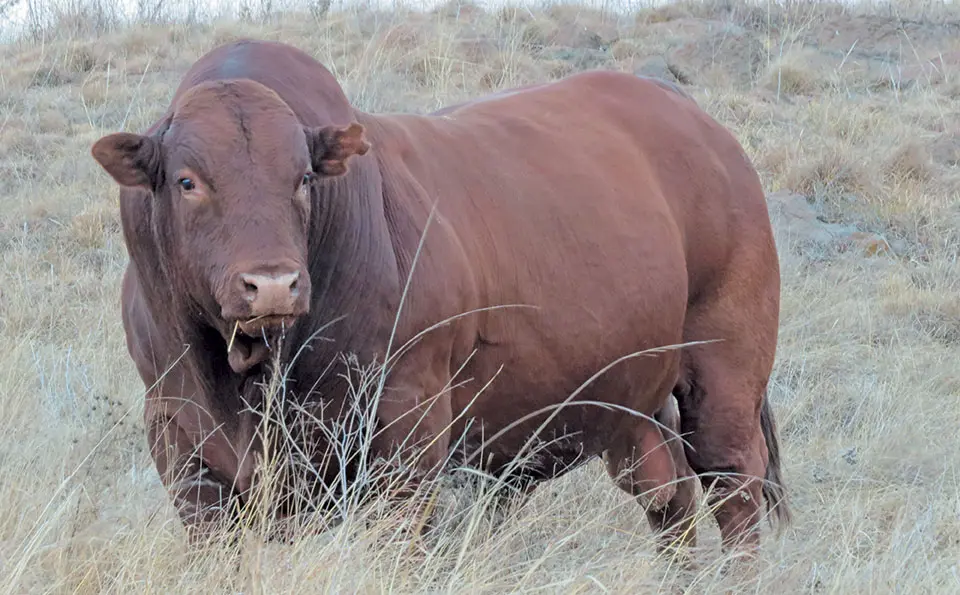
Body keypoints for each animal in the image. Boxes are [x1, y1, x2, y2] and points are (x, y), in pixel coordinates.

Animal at [89, 39, 788, 561]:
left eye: (304, 178)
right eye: (188, 182)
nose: (273, 284)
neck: (249, 374)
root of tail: (697, 121)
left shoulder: (406, 433)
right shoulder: (180, 445)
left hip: (726, 367)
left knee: (733, 490)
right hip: (634, 400)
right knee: (668, 499)